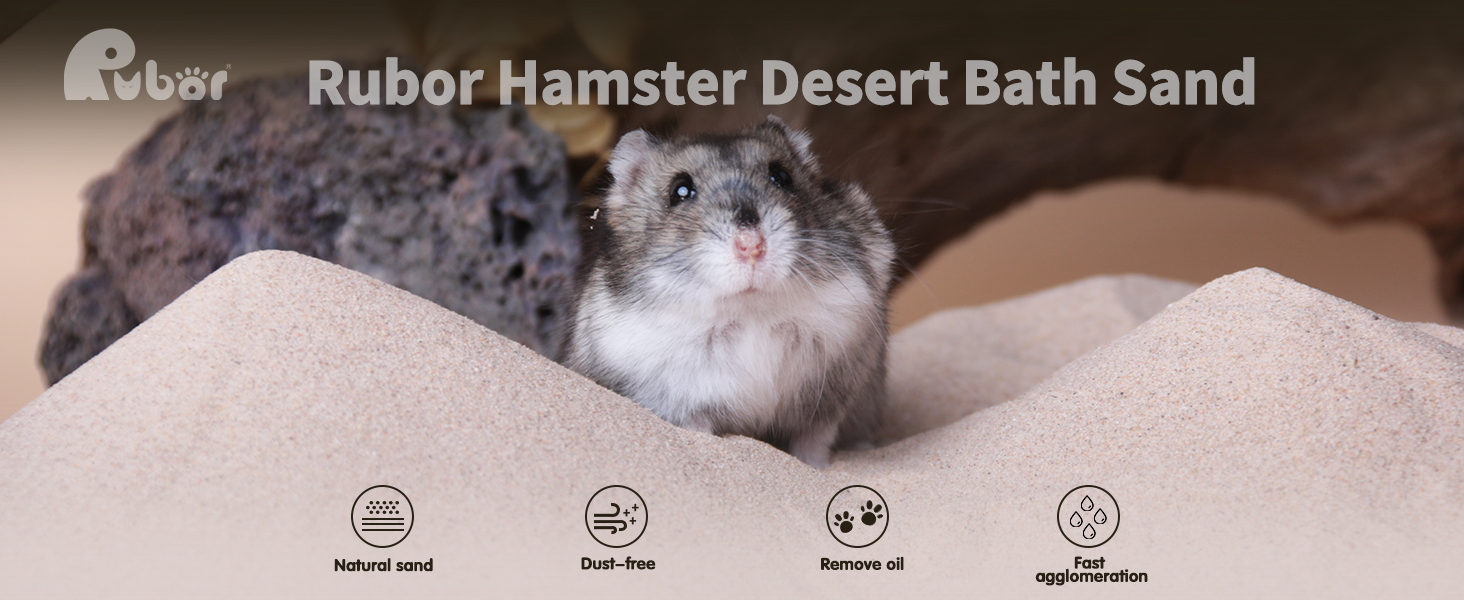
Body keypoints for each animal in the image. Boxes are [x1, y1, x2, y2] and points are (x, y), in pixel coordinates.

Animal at [560, 116, 895, 468]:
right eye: (680, 191)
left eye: (782, 176)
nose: (752, 246)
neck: (750, 310)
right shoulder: (679, 399)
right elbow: (698, 431)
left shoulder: (826, 403)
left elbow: (812, 444)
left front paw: (817, 468)